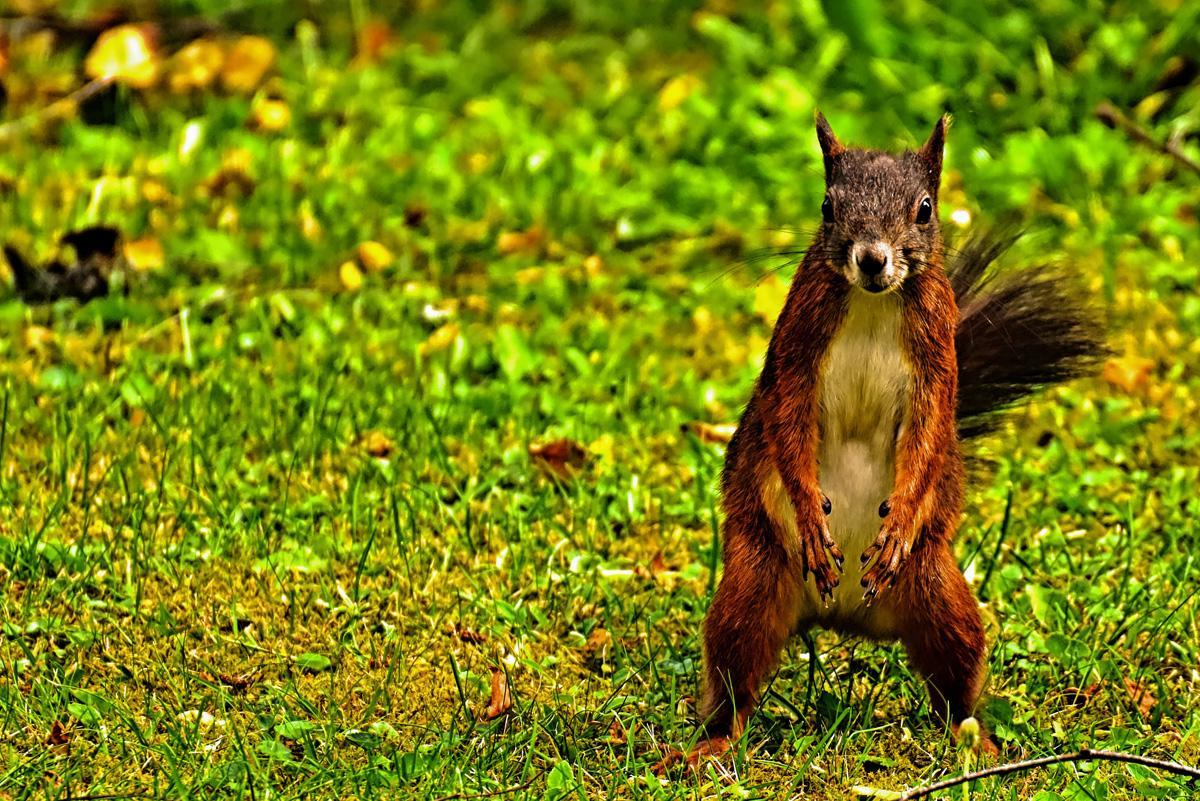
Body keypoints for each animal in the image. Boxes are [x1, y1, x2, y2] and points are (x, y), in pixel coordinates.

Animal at [697, 113, 1105, 757]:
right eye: (828, 207)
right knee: (735, 673)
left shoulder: (937, 360)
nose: (871, 259)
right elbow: (786, 424)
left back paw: (975, 741)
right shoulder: (795, 348)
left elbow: (929, 433)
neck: (873, 303)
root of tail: (842, 618)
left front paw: (903, 516)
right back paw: (712, 745)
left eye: (925, 209)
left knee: (955, 678)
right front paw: (811, 516)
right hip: (753, 583)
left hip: (939, 595)